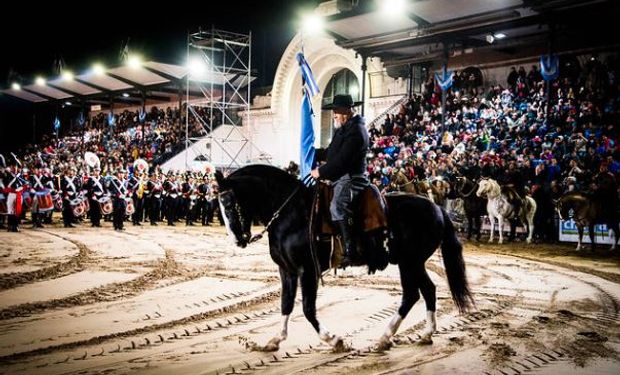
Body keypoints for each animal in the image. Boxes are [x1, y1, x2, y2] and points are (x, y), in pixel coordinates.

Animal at [216, 166, 472, 352]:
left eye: (228, 204)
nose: (238, 240)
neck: (292, 213)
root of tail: (438, 209)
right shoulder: (287, 270)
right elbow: (286, 304)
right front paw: (274, 340)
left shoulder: (307, 270)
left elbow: (308, 309)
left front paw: (334, 340)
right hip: (410, 263)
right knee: (424, 291)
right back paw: (419, 335)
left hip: (411, 262)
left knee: (413, 294)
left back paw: (387, 337)